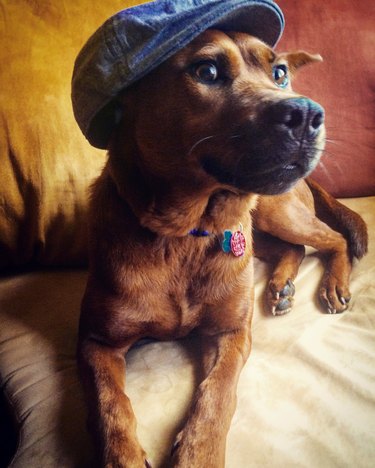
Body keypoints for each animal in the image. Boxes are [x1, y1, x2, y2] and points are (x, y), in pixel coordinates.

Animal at [78, 30, 368, 468]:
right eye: (207, 71)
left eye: (280, 73)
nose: (307, 113)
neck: (184, 235)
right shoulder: (97, 342)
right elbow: (109, 404)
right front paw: (122, 456)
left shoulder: (231, 333)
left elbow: (217, 394)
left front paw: (198, 453)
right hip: (259, 227)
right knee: (293, 248)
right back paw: (280, 286)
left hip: (275, 210)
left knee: (330, 238)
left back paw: (331, 285)